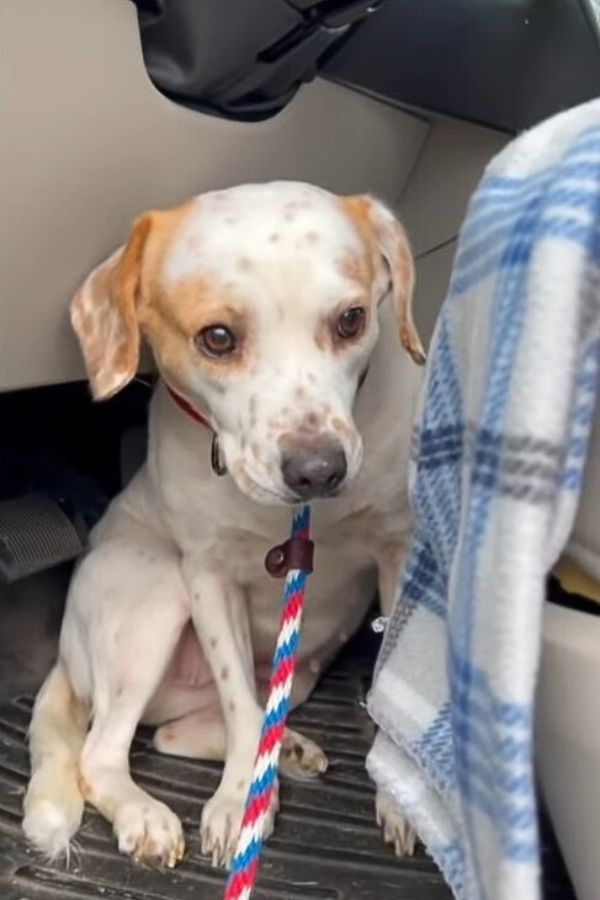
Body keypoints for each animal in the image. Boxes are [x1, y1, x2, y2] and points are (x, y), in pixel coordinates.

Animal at [22, 181, 422, 864]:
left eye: (351, 319)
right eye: (216, 338)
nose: (318, 470)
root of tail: (65, 660)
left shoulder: (397, 555)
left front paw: (397, 797)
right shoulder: (208, 577)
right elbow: (237, 700)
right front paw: (239, 801)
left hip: (299, 673)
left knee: (184, 734)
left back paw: (287, 750)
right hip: (156, 597)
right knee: (105, 753)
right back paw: (149, 813)